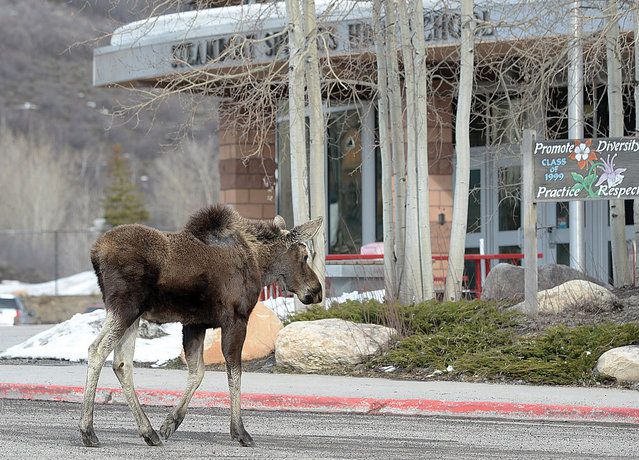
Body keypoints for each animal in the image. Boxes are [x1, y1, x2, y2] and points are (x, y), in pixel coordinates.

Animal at [79, 204, 322, 446]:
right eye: (304, 256)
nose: (316, 291)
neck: (259, 264)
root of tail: (95, 253)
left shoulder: (195, 323)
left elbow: (198, 372)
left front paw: (170, 423)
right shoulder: (236, 318)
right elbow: (234, 373)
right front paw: (240, 432)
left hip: (133, 314)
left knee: (122, 363)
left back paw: (149, 432)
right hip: (125, 307)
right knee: (97, 349)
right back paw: (88, 430)